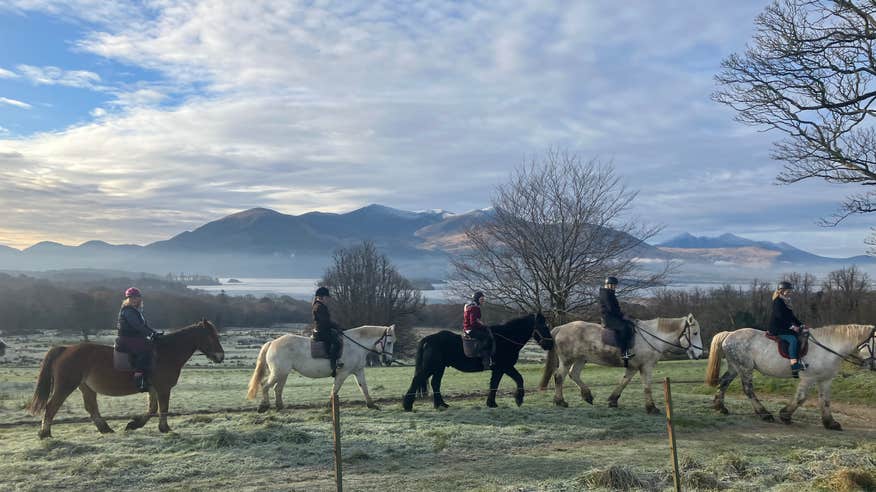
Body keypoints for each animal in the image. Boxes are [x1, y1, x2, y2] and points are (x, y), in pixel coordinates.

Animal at [29, 320, 224, 440]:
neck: (166, 353)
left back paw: (105, 429)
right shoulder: (163, 388)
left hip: (86, 387)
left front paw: (134, 424)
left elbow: (152, 409)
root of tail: (65, 349)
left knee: (91, 407)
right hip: (66, 385)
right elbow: (163, 408)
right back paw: (45, 433)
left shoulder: (153, 388)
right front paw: (165, 429)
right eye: (211, 336)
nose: (220, 356)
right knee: (51, 406)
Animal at [248, 322, 396, 412]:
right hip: (279, 372)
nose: (388, 361)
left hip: (283, 374)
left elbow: (363, 387)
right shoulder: (343, 373)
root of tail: (272, 343)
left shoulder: (358, 371)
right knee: (265, 386)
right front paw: (330, 406)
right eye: (389, 342)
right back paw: (263, 407)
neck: (355, 345)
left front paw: (372, 405)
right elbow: (335, 390)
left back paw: (280, 407)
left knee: (277, 389)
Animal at [400, 312, 552, 412]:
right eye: (544, 327)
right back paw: (407, 405)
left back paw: (440, 404)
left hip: (439, 368)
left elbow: (494, 384)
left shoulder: (498, 369)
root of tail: (428, 339)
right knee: (417, 380)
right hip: (431, 367)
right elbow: (519, 379)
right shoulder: (506, 366)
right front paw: (518, 399)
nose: (550, 344)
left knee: (435, 383)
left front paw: (491, 403)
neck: (506, 339)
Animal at [536, 316, 708, 412]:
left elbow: (624, 382)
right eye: (694, 333)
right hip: (567, 360)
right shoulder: (646, 367)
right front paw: (651, 408)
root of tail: (561, 328)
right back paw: (560, 401)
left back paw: (587, 396)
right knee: (560, 376)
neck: (653, 337)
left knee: (574, 375)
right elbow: (647, 386)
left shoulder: (633, 367)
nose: (699, 354)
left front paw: (612, 400)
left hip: (581, 359)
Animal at [704, 324, 876, 428]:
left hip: (735, 367)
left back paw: (720, 407)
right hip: (745, 368)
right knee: (748, 390)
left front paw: (830, 423)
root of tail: (729, 334)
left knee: (724, 382)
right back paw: (764, 414)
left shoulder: (826, 380)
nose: (873, 366)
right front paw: (785, 415)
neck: (828, 348)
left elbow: (826, 401)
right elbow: (801, 398)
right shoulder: (808, 378)